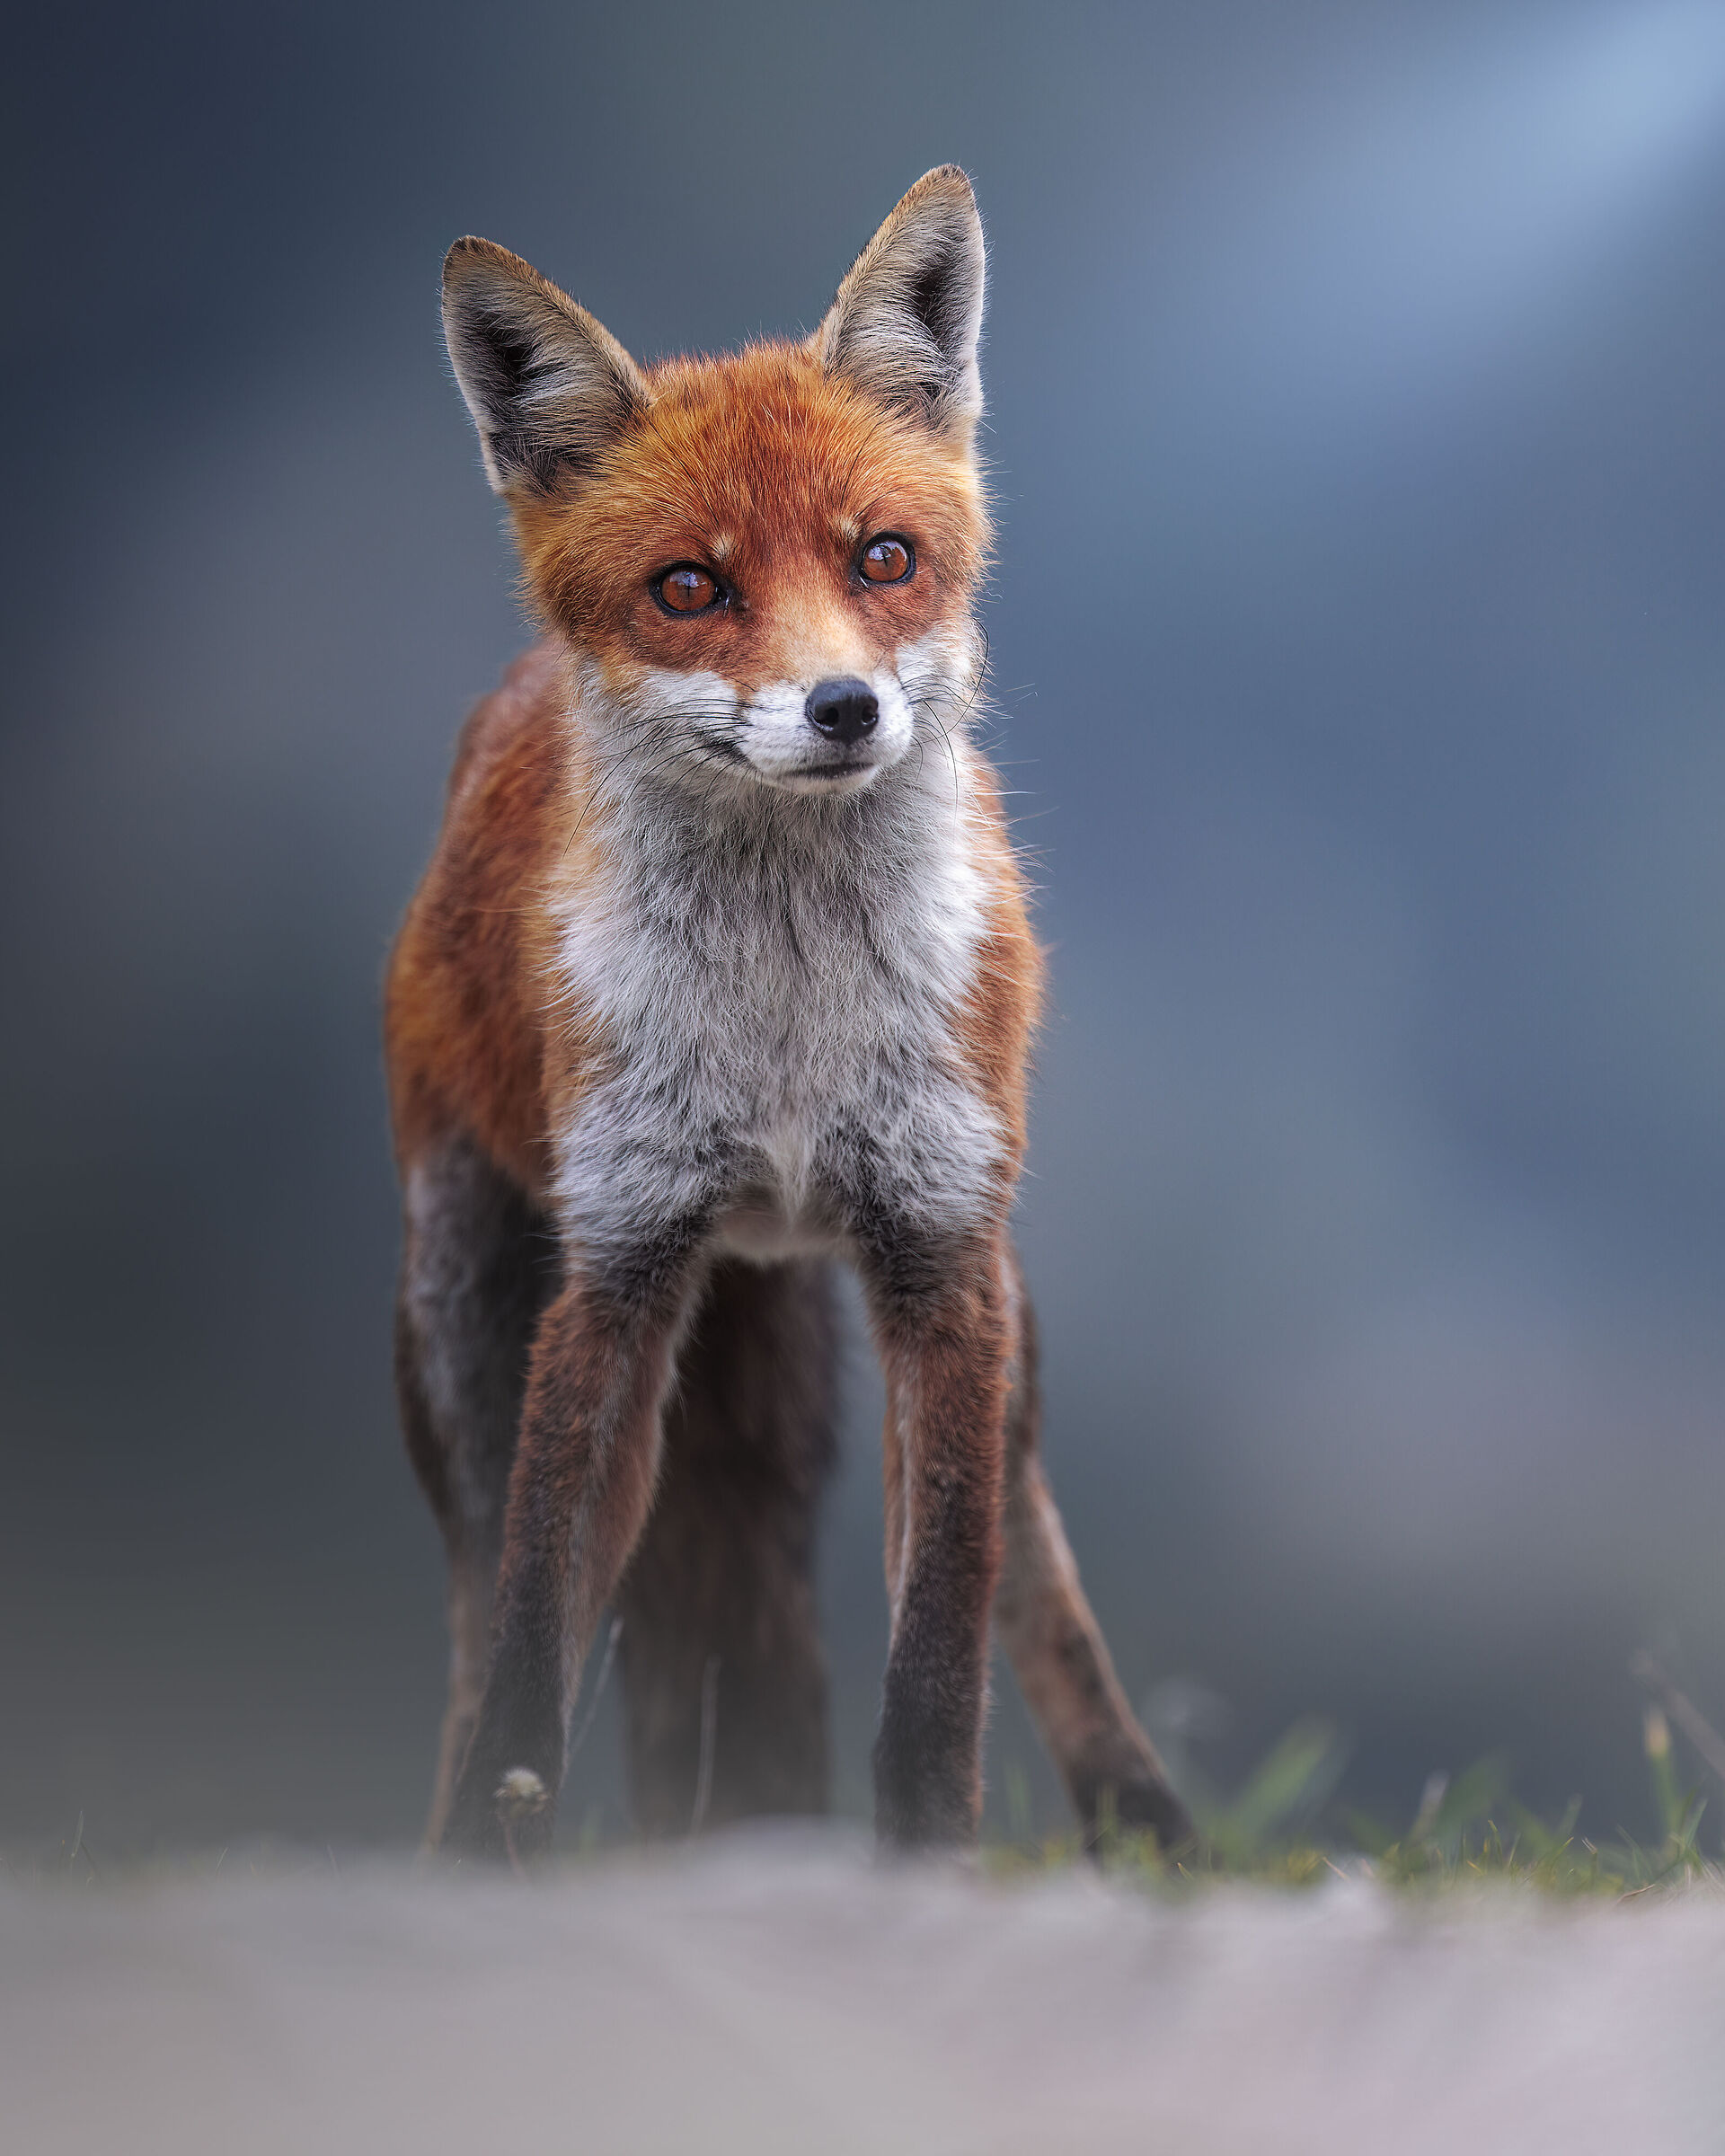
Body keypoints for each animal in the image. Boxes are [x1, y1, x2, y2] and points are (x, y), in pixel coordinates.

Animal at [386, 166, 1192, 1861]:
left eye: (883, 558)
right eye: (691, 589)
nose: (843, 708)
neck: (788, 1036)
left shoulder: (942, 1256)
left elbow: (943, 1633)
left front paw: (930, 1854)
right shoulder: (618, 1269)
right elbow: (540, 1629)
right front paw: (501, 1843)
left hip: (987, 1314)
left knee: (1034, 1559)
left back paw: (1138, 1811)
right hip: (464, 1330)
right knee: (481, 1608)